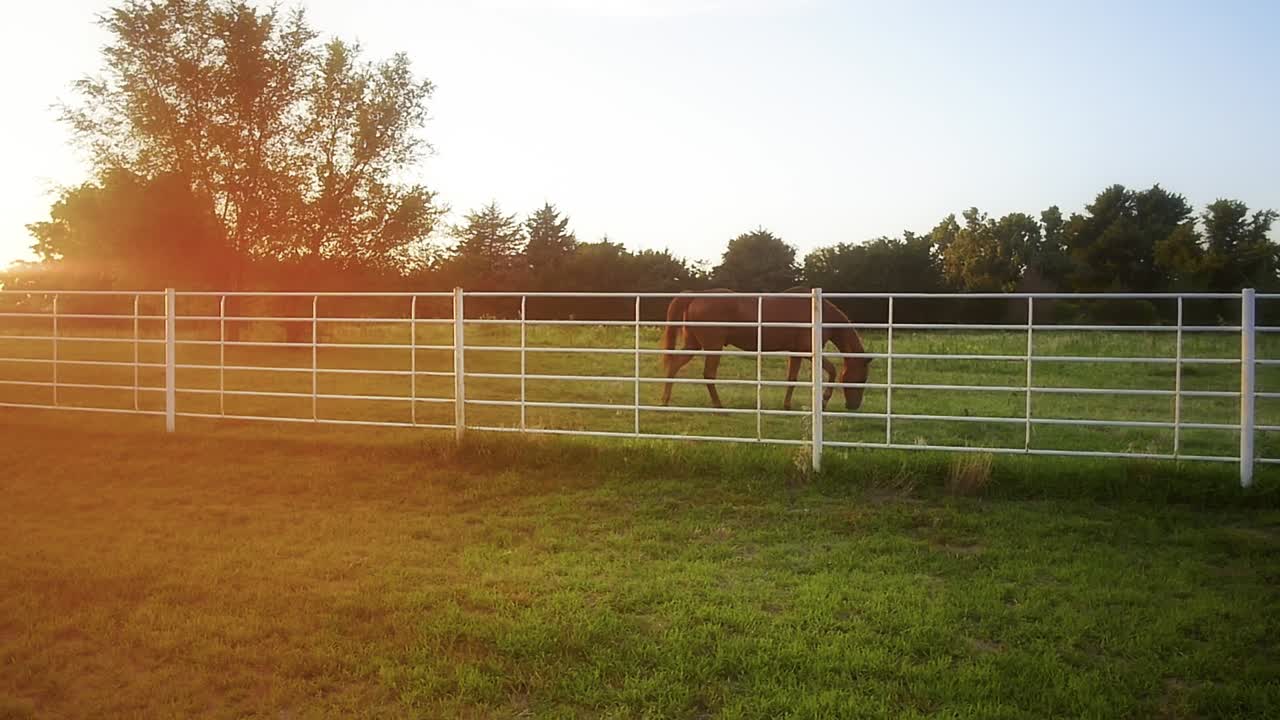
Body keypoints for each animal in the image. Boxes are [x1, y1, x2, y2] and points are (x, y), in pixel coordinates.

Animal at [659, 288, 872, 411]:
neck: (818, 313)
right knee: (708, 374)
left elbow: (792, 379)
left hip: (693, 345)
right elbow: (833, 371)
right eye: (861, 379)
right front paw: (824, 401)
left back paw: (665, 400)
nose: (853, 406)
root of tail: (695, 296)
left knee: (674, 365)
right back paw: (718, 405)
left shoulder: (796, 353)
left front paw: (787, 405)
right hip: (713, 347)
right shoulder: (808, 352)